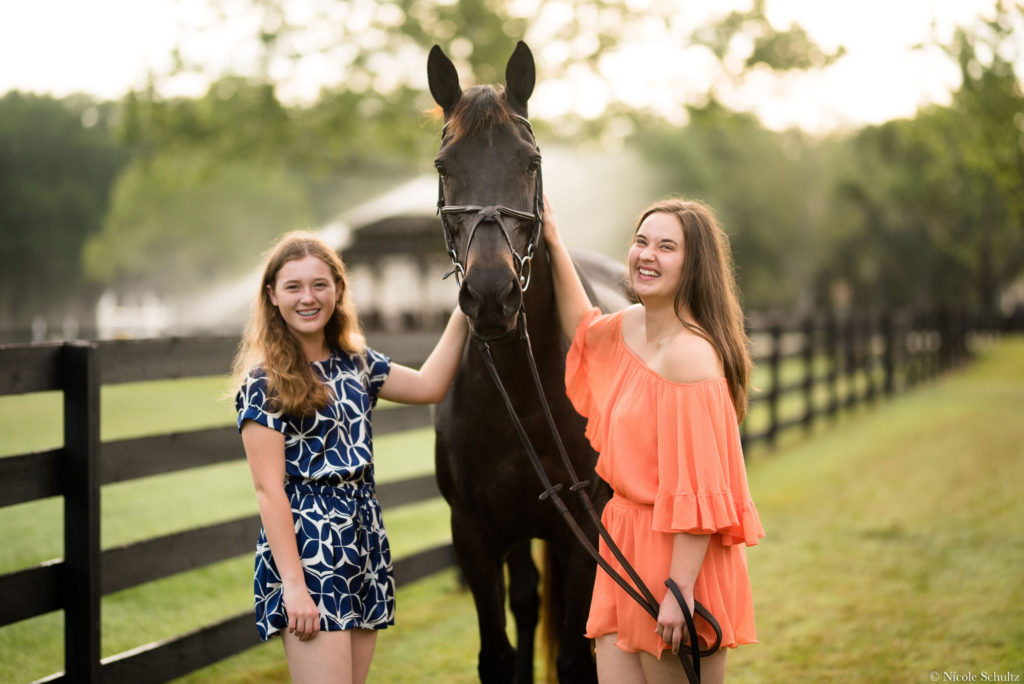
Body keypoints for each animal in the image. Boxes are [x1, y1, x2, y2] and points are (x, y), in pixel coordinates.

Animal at [425, 42, 630, 684]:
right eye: (444, 165)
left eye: (531, 161)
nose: (492, 295)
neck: (518, 388)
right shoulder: (474, 533)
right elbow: (497, 653)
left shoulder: (583, 527)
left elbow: (575, 656)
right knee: (527, 599)